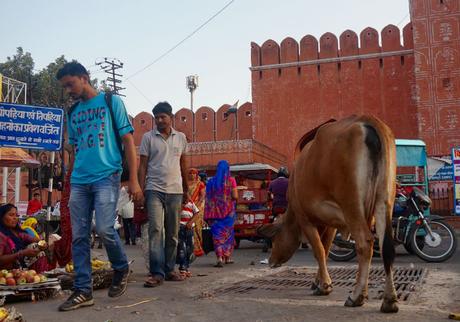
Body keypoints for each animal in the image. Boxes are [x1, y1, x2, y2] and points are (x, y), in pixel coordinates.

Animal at [258, 115, 398, 312]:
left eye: (274, 238)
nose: (271, 261)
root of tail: (368, 120)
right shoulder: (332, 224)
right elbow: (324, 249)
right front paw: (318, 281)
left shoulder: (305, 219)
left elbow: (318, 250)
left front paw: (324, 285)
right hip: (384, 200)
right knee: (387, 247)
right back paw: (389, 299)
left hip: (351, 205)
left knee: (365, 243)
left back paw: (356, 296)